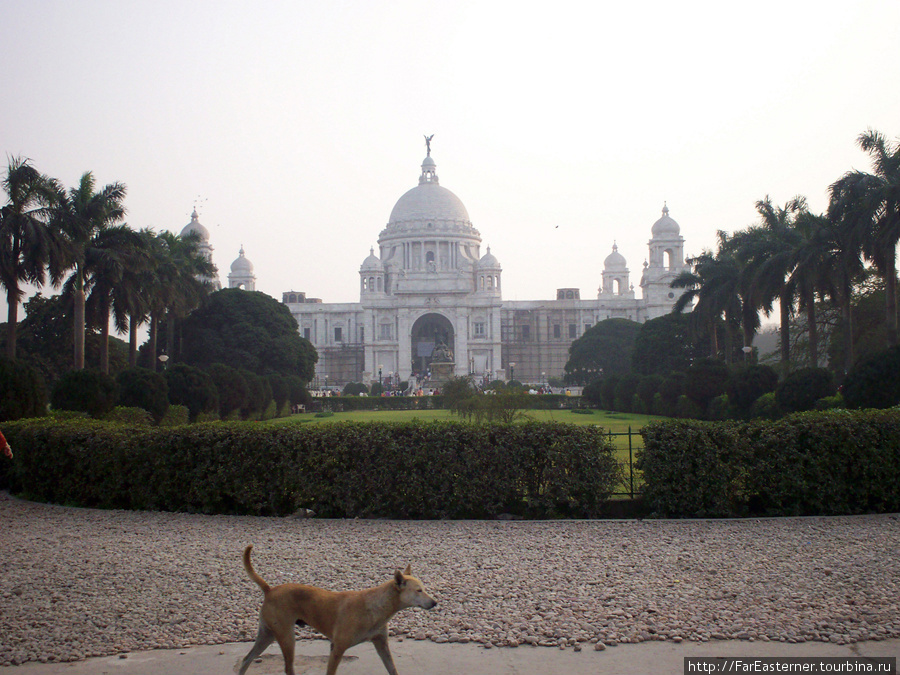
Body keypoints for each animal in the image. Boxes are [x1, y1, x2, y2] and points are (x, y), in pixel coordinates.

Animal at [237, 548, 438, 672]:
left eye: (424, 589)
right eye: (419, 591)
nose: (435, 602)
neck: (377, 606)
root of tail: (270, 590)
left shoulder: (382, 645)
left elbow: (392, 669)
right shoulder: (337, 648)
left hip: (267, 635)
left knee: (246, 660)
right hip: (287, 638)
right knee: (287, 668)